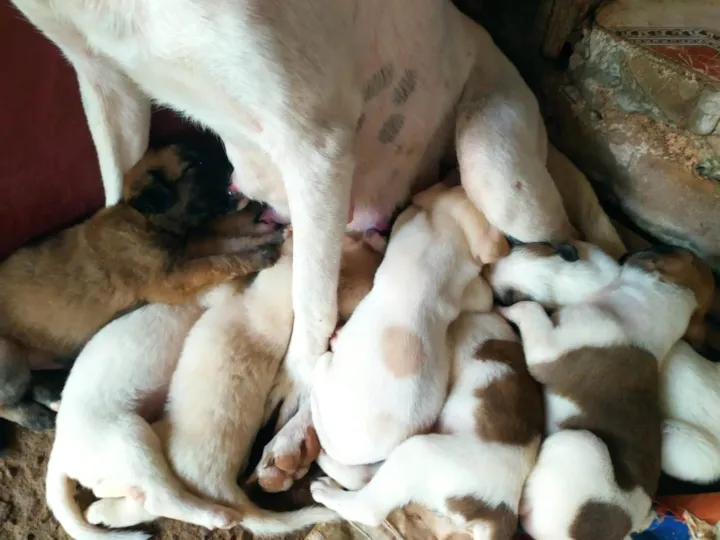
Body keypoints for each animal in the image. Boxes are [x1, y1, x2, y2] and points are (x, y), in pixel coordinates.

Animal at [0, 142, 281, 430]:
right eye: (194, 165)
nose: (235, 166)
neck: (143, 217)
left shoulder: (185, 252)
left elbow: (223, 244)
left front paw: (264, 236)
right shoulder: (171, 279)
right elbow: (218, 261)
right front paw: (258, 254)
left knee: (34, 385)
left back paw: (53, 398)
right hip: (8, 356)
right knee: (6, 402)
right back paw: (35, 416)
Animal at [310, 311, 543, 539]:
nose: (335, 332)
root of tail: (501, 511)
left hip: (421, 451)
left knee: (369, 507)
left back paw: (326, 490)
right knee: (365, 478)